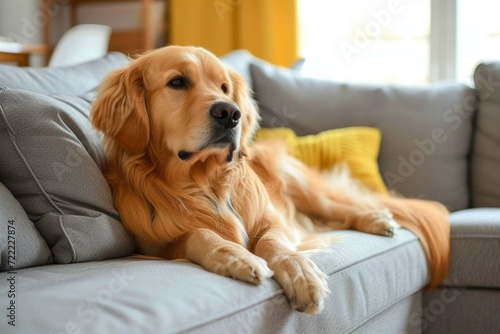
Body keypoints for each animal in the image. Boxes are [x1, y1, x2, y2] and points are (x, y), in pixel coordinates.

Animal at [92, 45, 452, 314]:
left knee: (340, 207)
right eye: (177, 82)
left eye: (224, 87)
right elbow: (198, 235)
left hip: (301, 184)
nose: (230, 113)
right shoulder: (157, 244)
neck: (206, 183)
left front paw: (301, 275)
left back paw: (377, 220)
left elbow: (273, 243)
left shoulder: (272, 218)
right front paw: (236, 257)